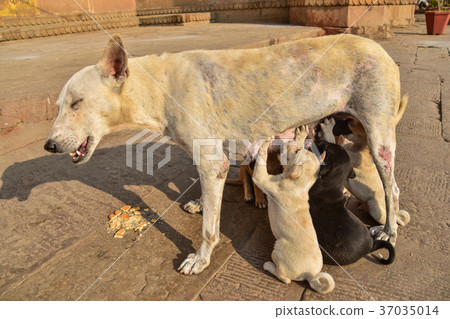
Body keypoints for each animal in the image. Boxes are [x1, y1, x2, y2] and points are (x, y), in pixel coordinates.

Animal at [253, 127, 334, 296]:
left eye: (296, 151)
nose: (288, 142)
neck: (299, 185)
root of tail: (311, 275)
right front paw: (301, 135)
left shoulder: (261, 178)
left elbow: (261, 158)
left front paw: (266, 141)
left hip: (278, 247)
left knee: (285, 279)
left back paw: (269, 266)